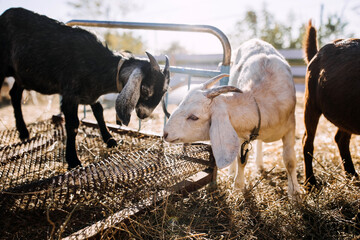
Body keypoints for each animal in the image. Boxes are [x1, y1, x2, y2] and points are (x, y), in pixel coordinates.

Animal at [0, 7, 170, 169]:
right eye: (145, 89)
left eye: (164, 91)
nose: (144, 114)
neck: (98, 64)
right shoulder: (70, 95)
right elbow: (73, 125)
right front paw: (73, 160)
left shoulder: (90, 93)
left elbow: (99, 112)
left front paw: (110, 139)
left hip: (21, 76)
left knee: (15, 94)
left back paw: (23, 132)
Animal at [165, 38, 302, 198]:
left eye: (194, 117)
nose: (165, 133)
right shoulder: (241, 133)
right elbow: (241, 160)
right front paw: (238, 187)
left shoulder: (290, 127)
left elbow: (290, 160)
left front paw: (295, 193)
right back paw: (233, 172)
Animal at [302, 20, 358, 188]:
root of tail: (317, 53)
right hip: (310, 104)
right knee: (307, 142)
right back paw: (310, 183)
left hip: (346, 113)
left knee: (341, 139)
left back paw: (352, 175)